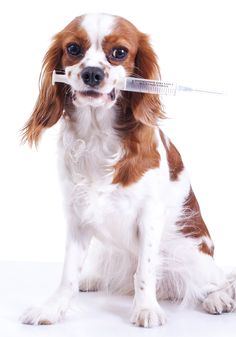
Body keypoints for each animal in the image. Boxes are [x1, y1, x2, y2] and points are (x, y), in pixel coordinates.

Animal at [21, 13, 235, 328]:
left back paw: (218, 298)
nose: (93, 74)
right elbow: (68, 273)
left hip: (188, 252)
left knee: (218, 281)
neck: (97, 134)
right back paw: (92, 279)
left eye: (120, 52)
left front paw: (146, 309)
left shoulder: (149, 216)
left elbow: (144, 271)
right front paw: (53, 307)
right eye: (73, 48)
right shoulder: (77, 216)